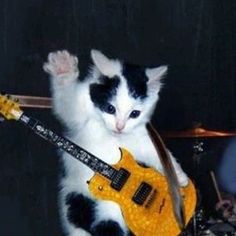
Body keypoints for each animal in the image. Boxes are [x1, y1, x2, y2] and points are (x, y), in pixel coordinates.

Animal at [43, 48, 189, 235]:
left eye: (134, 114)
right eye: (110, 108)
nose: (120, 127)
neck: (113, 137)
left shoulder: (141, 139)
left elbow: (156, 153)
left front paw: (179, 176)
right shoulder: (79, 114)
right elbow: (68, 103)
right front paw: (63, 68)